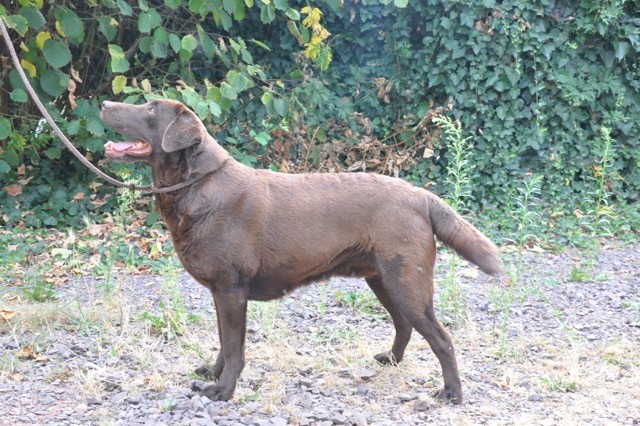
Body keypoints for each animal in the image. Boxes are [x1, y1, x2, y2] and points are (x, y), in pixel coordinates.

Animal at [101, 98, 502, 404]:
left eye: (150, 109)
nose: (104, 103)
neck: (197, 184)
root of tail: (421, 196)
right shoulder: (222, 293)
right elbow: (223, 341)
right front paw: (212, 374)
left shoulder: (231, 290)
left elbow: (234, 348)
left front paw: (223, 390)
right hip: (383, 279)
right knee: (404, 324)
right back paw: (390, 360)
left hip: (407, 283)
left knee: (442, 339)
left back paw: (452, 394)